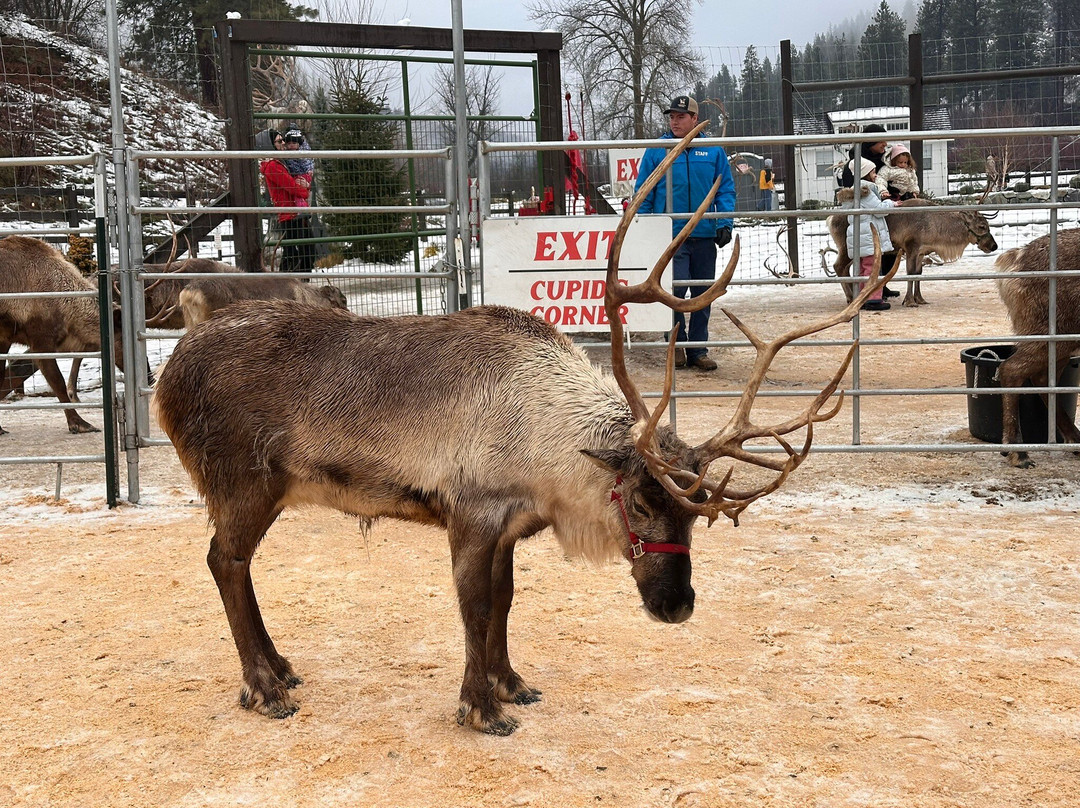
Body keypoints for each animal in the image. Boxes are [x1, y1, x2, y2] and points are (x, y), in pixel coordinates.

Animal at [151, 121, 895, 735]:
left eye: (693, 518)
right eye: (643, 500)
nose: (678, 604)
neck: (546, 455)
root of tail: (167, 377)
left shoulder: (511, 525)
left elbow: (505, 605)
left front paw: (511, 683)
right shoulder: (471, 514)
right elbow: (475, 610)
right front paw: (480, 708)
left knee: (236, 564)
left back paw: (280, 668)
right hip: (242, 483)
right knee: (223, 561)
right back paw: (264, 687)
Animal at [827, 198, 997, 306]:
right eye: (982, 226)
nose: (994, 246)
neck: (936, 229)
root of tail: (830, 219)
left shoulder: (921, 252)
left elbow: (918, 273)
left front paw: (920, 299)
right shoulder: (911, 247)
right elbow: (910, 273)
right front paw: (909, 301)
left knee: (844, 269)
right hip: (846, 248)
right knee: (838, 266)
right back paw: (851, 297)